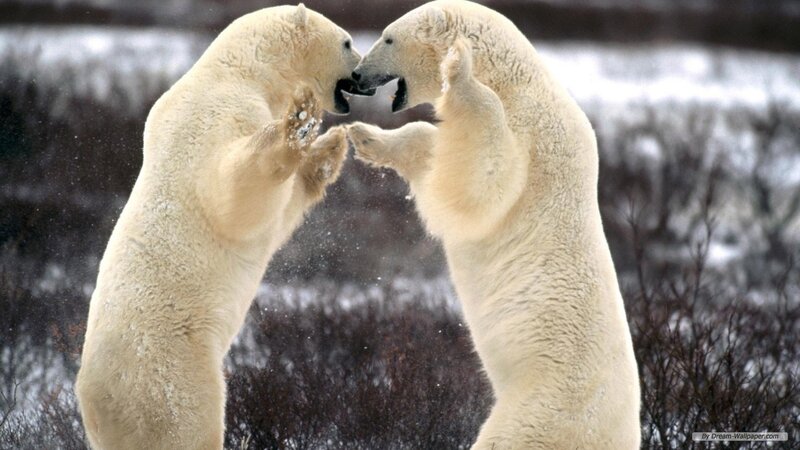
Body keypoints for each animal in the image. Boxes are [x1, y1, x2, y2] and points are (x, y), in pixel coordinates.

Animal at [74, 5, 366, 449]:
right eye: (347, 42)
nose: (364, 71)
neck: (240, 72)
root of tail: (92, 400)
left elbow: (282, 210)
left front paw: (330, 147)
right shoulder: (217, 116)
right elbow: (236, 196)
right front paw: (300, 120)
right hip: (169, 373)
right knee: (188, 423)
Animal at [346, 1, 641, 448]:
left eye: (389, 38)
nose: (358, 76)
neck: (517, 86)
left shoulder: (536, 142)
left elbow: (486, 180)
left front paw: (458, 68)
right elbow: (436, 149)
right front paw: (365, 136)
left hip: (542, 412)